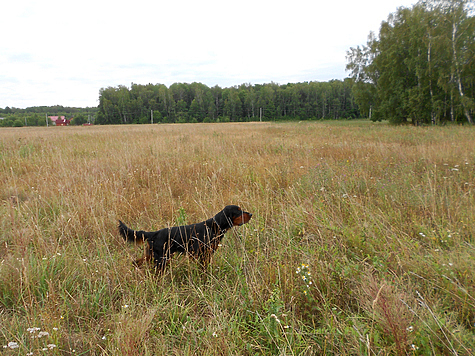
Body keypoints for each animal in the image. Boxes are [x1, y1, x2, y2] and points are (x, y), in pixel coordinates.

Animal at [119, 204, 253, 272]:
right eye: (238, 211)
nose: (251, 214)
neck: (213, 227)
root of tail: (154, 233)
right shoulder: (203, 254)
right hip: (162, 258)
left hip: (152, 255)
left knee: (135, 262)